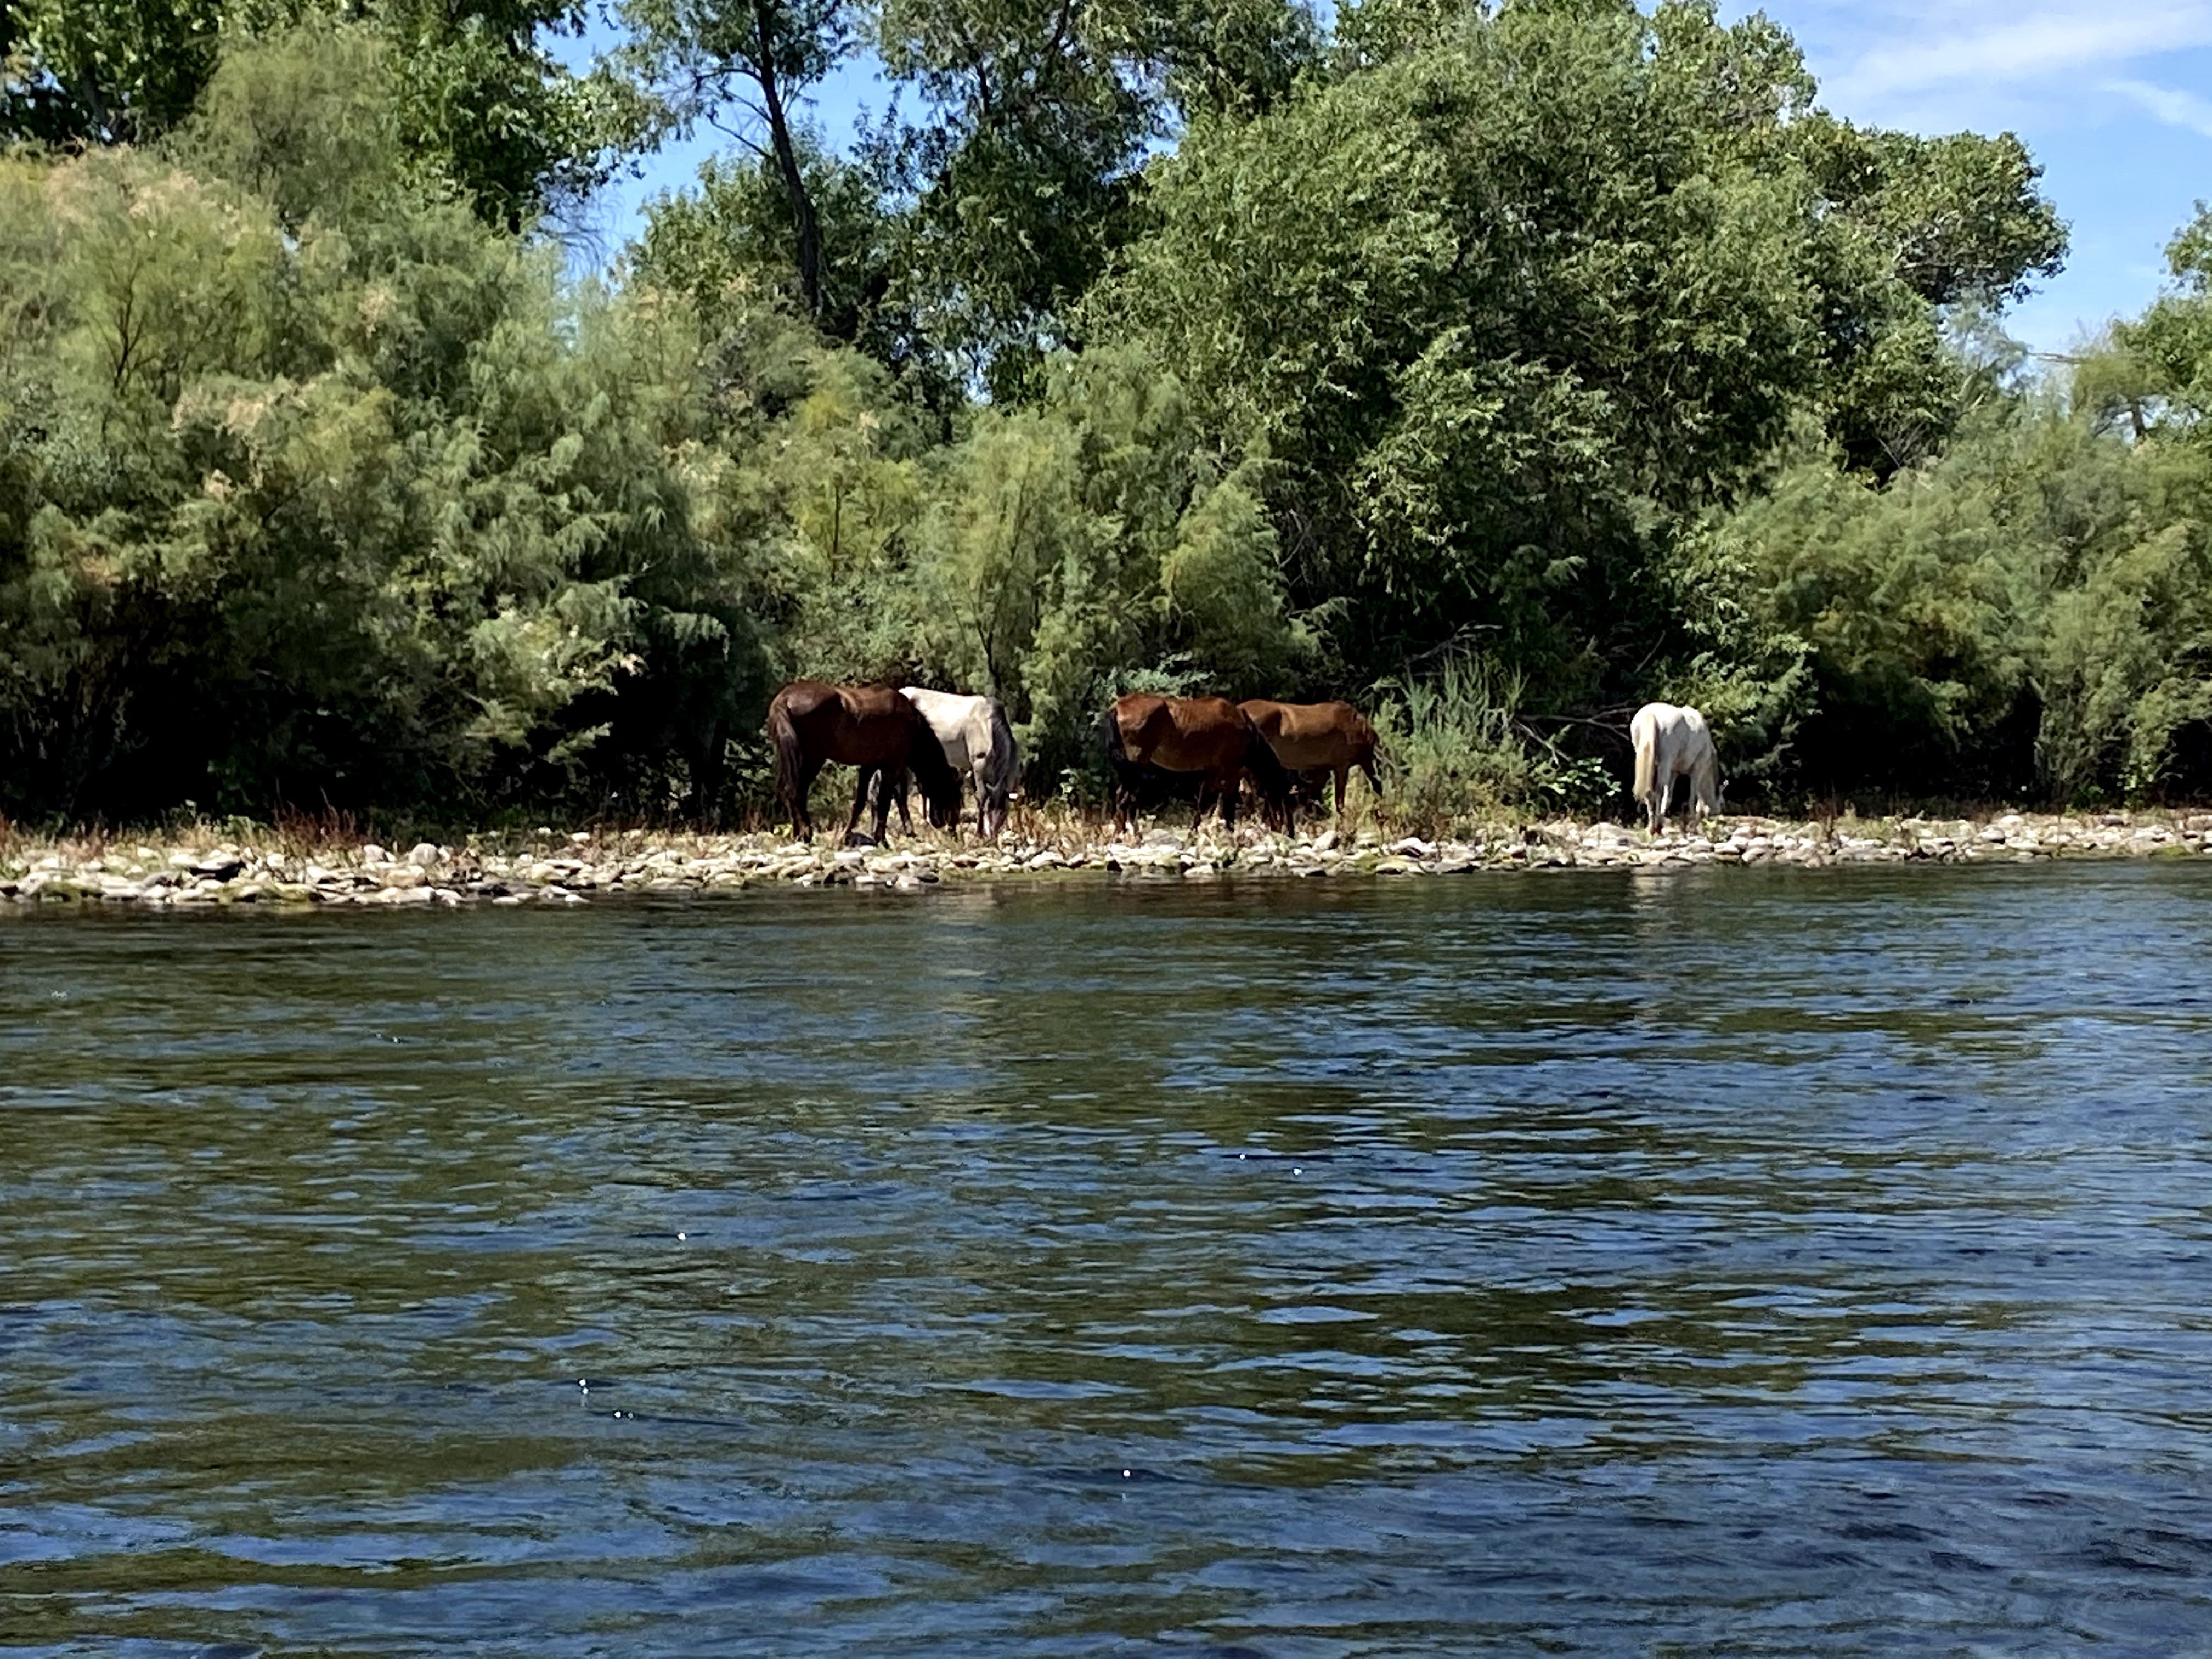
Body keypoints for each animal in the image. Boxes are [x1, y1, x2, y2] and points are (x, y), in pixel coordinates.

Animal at [767, 680, 963, 842]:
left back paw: (798, 835)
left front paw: (846, 836)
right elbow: (885, 801)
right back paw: (806, 833)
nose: (953, 831)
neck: (913, 726)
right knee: (798, 793)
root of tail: (785, 698)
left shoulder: (869, 766)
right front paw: (881, 839)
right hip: (813, 760)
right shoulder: (893, 767)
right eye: (955, 797)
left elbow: (861, 802)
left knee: (791, 792)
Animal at [900, 687, 1021, 840]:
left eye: (1004, 812)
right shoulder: (978, 765)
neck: (990, 728)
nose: (992, 834)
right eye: (989, 808)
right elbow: (981, 798)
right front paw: (979, 833)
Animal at [1100, 693, 1292, 835]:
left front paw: (1195, 832)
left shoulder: (1213, 772)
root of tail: (1117, 706)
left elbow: (1203, 802)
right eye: (1282, 796)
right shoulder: (1230, 772)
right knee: (1124, 798)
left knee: (1121, 797)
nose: (1289, 832)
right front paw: (1228, 832)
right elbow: (1227, 804)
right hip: (1135, 768)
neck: (1247, 731)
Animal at [1630, 702, 1722, 833]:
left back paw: (1651, 827)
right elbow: (1692, 799)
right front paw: (1693, 826)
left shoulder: (1674, 772)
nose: (1718, 815)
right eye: (1722, 802)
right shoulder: (1697, 771)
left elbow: (1669, 797)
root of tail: (1652, 714)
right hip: (1665, 763)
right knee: (1658, 791)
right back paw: (1655, 827)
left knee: (1650, 792)